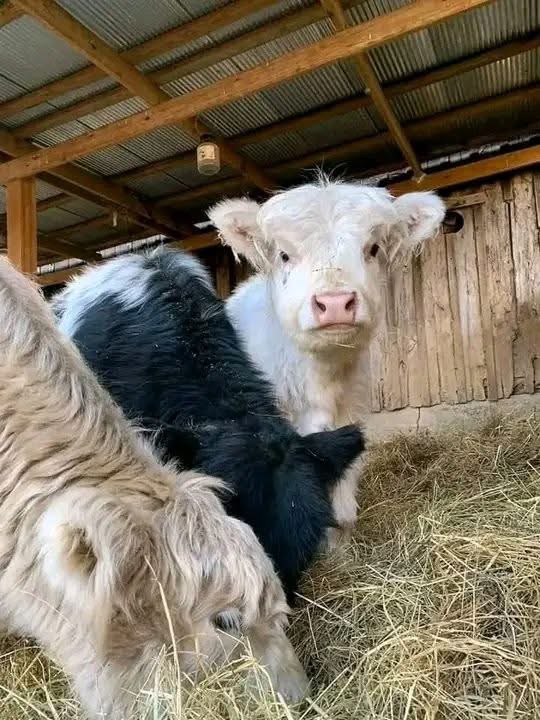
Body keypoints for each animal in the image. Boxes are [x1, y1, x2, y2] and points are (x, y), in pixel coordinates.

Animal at [209, 177, 446, 545]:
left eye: (372, 248)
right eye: (284, 254)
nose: (335, 303)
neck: (320, 385)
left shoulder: (350, 418)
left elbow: (342, 503)